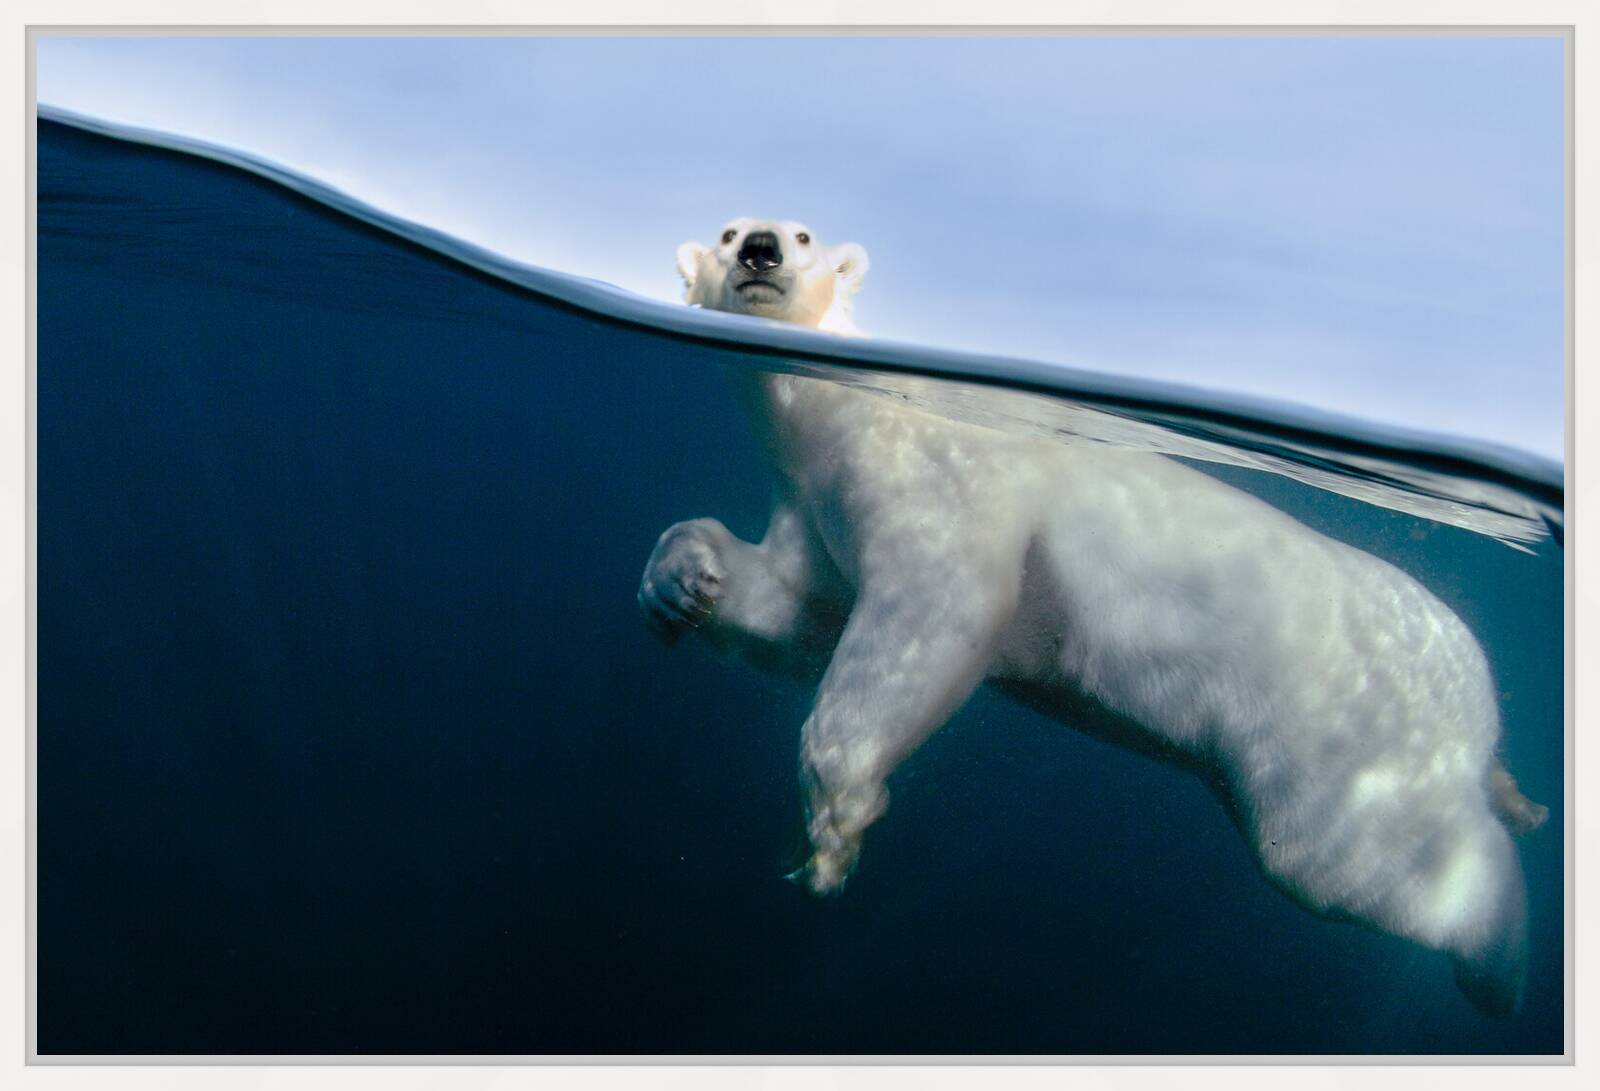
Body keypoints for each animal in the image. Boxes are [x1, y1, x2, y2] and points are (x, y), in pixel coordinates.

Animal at [638, 217, 1548, 1016]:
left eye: (801, 235)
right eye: (726, 232)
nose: (758, 250)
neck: (846, 407)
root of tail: (1477, 712)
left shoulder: (935, 470)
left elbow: (937, 604)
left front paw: (832, 833)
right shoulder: (815, 499)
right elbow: (799, 609)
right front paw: (683, 581)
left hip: (1334, 744)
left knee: (1350, 864)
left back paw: (1502, 964)